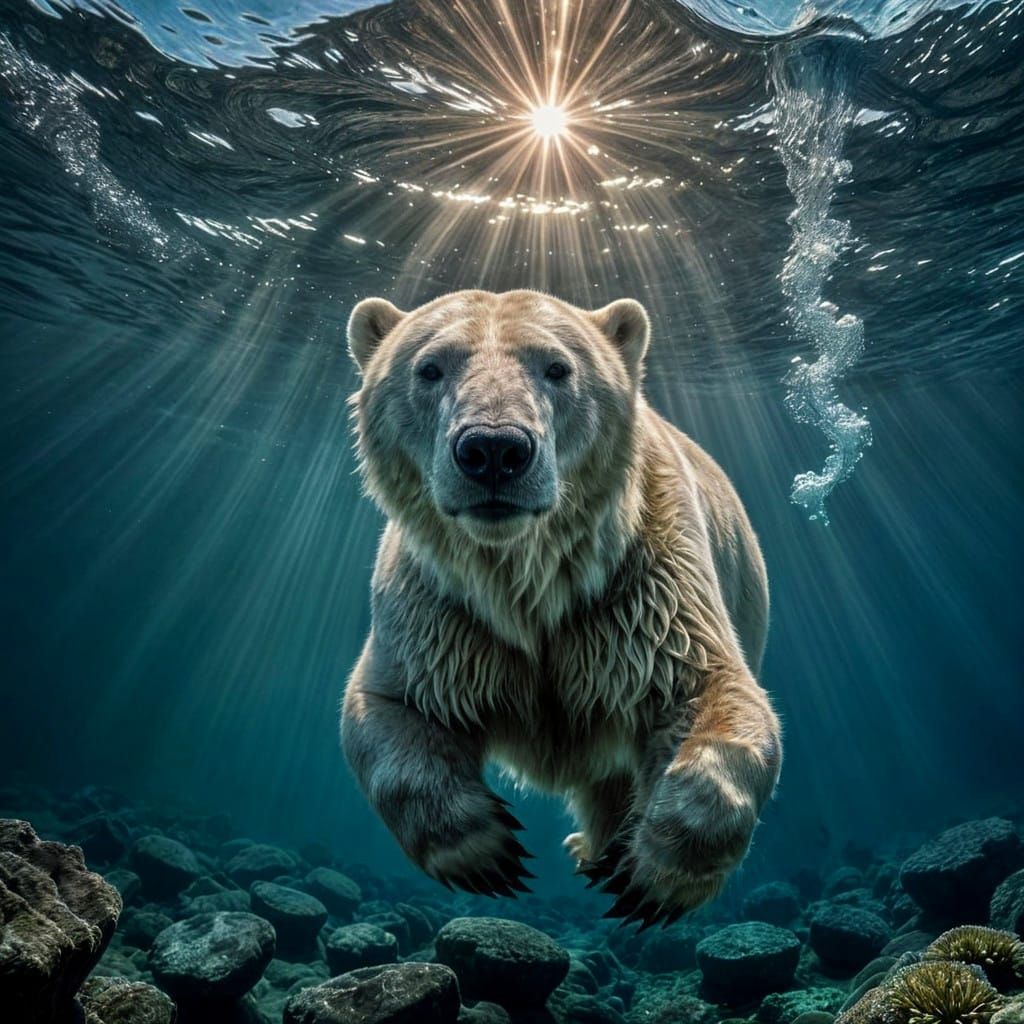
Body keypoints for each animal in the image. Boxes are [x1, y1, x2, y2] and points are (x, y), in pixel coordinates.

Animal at [341, 289, 781, 927]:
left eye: (557, 367)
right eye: (429, 367)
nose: (494, 450)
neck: (528, 578)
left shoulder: (645, 588)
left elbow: (713, 695)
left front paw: (652, 877)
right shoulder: (438, 606)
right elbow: (384, 708)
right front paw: (487, 854)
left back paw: (600, 851)